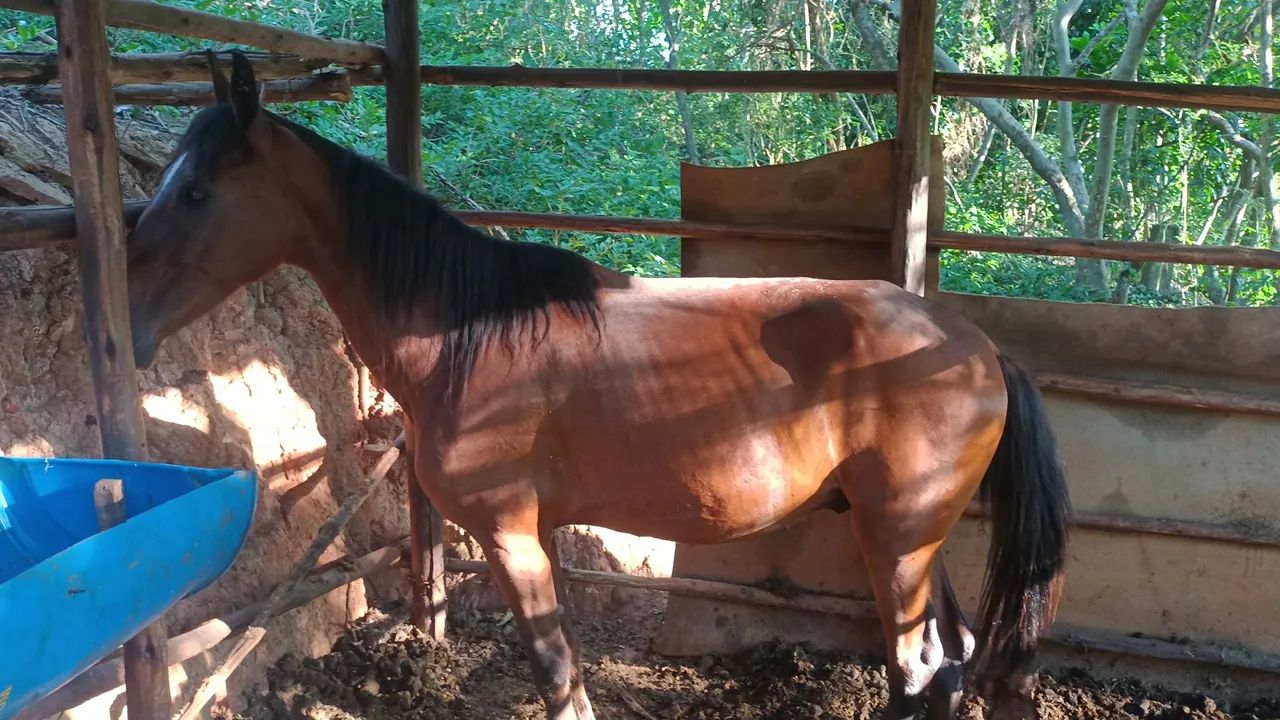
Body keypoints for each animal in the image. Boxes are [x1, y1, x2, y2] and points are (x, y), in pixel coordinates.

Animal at [125, 51, 1069, 720]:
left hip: (898, 542)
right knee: (946, 665)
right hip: (911, 542)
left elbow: (556, 679)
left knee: (919, 667)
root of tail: (977, 347)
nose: (131, 319)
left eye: (197, 190)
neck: (469, 335)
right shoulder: (533, 537)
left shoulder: (510, 536)